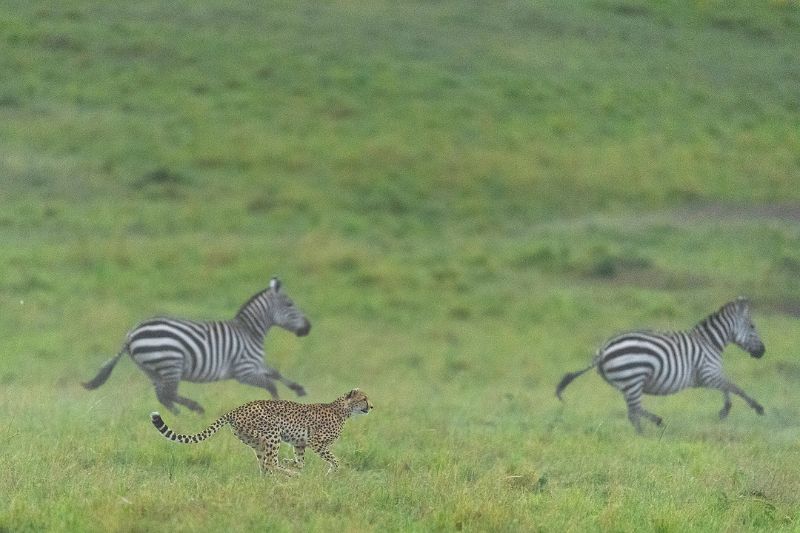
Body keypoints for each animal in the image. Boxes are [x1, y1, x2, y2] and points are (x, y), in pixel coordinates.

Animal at [83, 278, 310, 416]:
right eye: (290, 304)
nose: (308, 327)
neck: (250, 331)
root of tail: (131, 334)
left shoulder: (254, 364)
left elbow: (275, 372)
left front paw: (299, 388)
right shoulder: (243, 370)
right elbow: (271, 384)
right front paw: (277, 409)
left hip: (150, 369)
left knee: (163, 396)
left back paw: (178, 417)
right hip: (170, 362)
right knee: (168, 394)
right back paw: (195, 410)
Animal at [151, 386, 376, 474]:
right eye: (364, 398)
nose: (372, 406)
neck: (343, 410)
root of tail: (236, 409)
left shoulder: (300, 444)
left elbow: (300, 461)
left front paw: (292, 463)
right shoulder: (315, 442)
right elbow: (335, 460)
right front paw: (333, 470)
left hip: (256, 441)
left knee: (265, 465)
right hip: (272, 434)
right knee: (270, 462)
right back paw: (290, 476)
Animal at [556, 298, 768, 430]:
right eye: (752, 326)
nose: (763, 352)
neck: (710, 341)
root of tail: (602, 351)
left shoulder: (705, 377)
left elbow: (727, 388)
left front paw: (725, 410)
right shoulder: (708, 372)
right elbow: (734, 386)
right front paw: (757, 407)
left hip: (626, 383)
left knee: (634, 410)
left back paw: (654, 424)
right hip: (633, 378)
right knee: (633, 413)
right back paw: (645, 434)